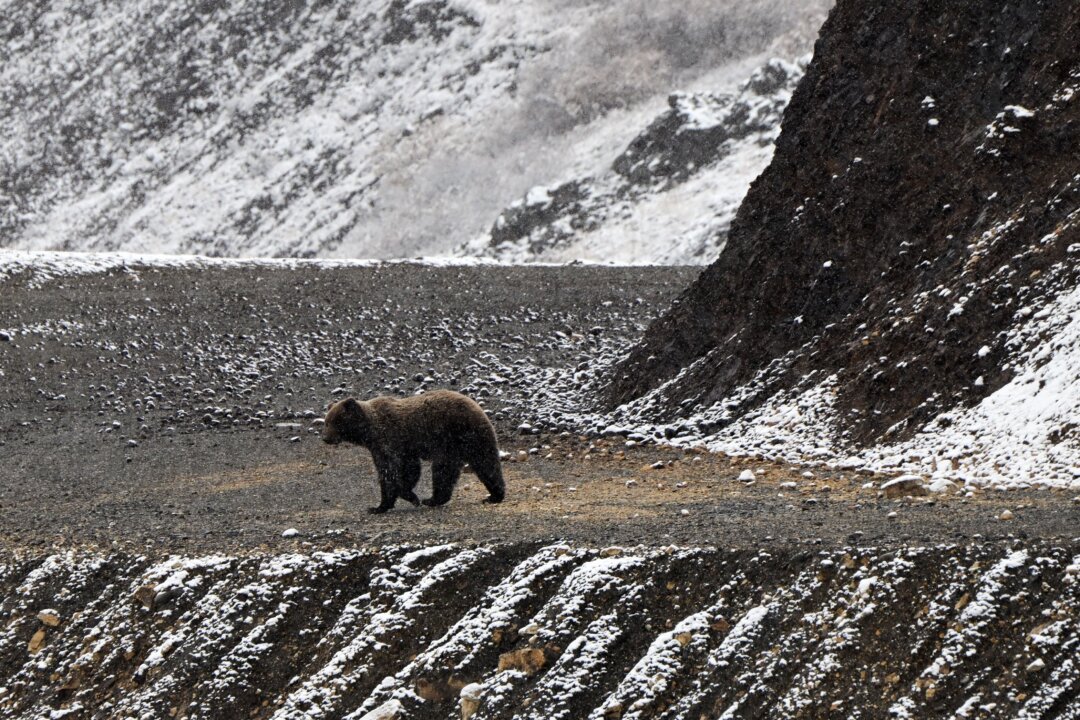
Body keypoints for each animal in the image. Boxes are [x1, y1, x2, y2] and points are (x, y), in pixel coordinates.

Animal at [322, 389, 506, 514]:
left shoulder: (390, 439)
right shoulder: (389, 448)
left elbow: (395, 472)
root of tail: (478, 408)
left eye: (335, 421)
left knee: (445, 470)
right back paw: (494, 495)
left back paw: (431, 499)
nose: (326, 438)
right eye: (326, 422)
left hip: (455, 436)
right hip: (471, 441)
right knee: (486, 466)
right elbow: (398, 471)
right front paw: (385, 504)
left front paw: (401, 498)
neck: (368, 432)